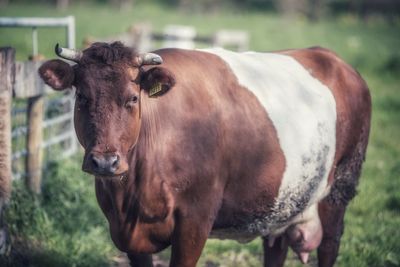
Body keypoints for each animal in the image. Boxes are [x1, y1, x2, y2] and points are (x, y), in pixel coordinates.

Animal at [39, 42, 370, 267]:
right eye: (82, 97)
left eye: (132, 99)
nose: (105, 162)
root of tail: (332, 58)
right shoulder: (126, 231)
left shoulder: (195, 219)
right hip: (281, 201)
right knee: (275, 248)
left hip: (340, 185)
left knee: (329, 244)